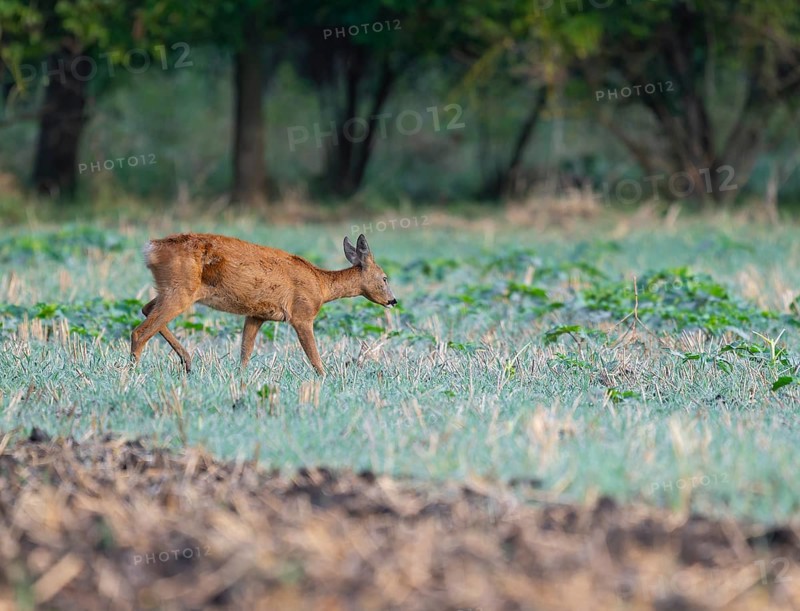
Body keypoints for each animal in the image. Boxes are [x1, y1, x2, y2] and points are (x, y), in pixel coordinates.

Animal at [130, 233, 396, 375]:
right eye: (385, 278)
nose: (393, 301)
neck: (321, 286)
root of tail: (151, 248)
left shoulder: (257, 314)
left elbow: (245, 352)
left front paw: (240, 377)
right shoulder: (302, 313)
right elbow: (313, 355)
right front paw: (326, 377)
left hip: (172, 289)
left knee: (146, 309)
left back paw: (187, 361)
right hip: (181, 289)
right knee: (140, 331)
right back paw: (133, 372)